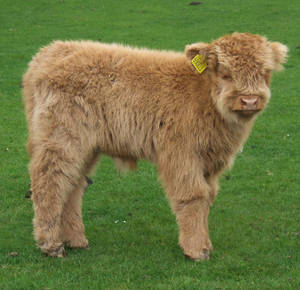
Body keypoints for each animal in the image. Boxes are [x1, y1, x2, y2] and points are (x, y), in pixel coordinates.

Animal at [22, 32, 288, 260]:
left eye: (265, 72)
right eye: (225, 72)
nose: (249, 100)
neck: (205, 98)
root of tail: (48, 52)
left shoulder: (209, 163)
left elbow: (208, 196)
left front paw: (205, 243)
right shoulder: (181, 154)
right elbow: (194, 195)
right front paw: (196, 250)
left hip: (86, 147)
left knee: (73, 185)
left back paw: (75, 240)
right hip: (61, 138)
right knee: (50, 181)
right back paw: (51, 245)